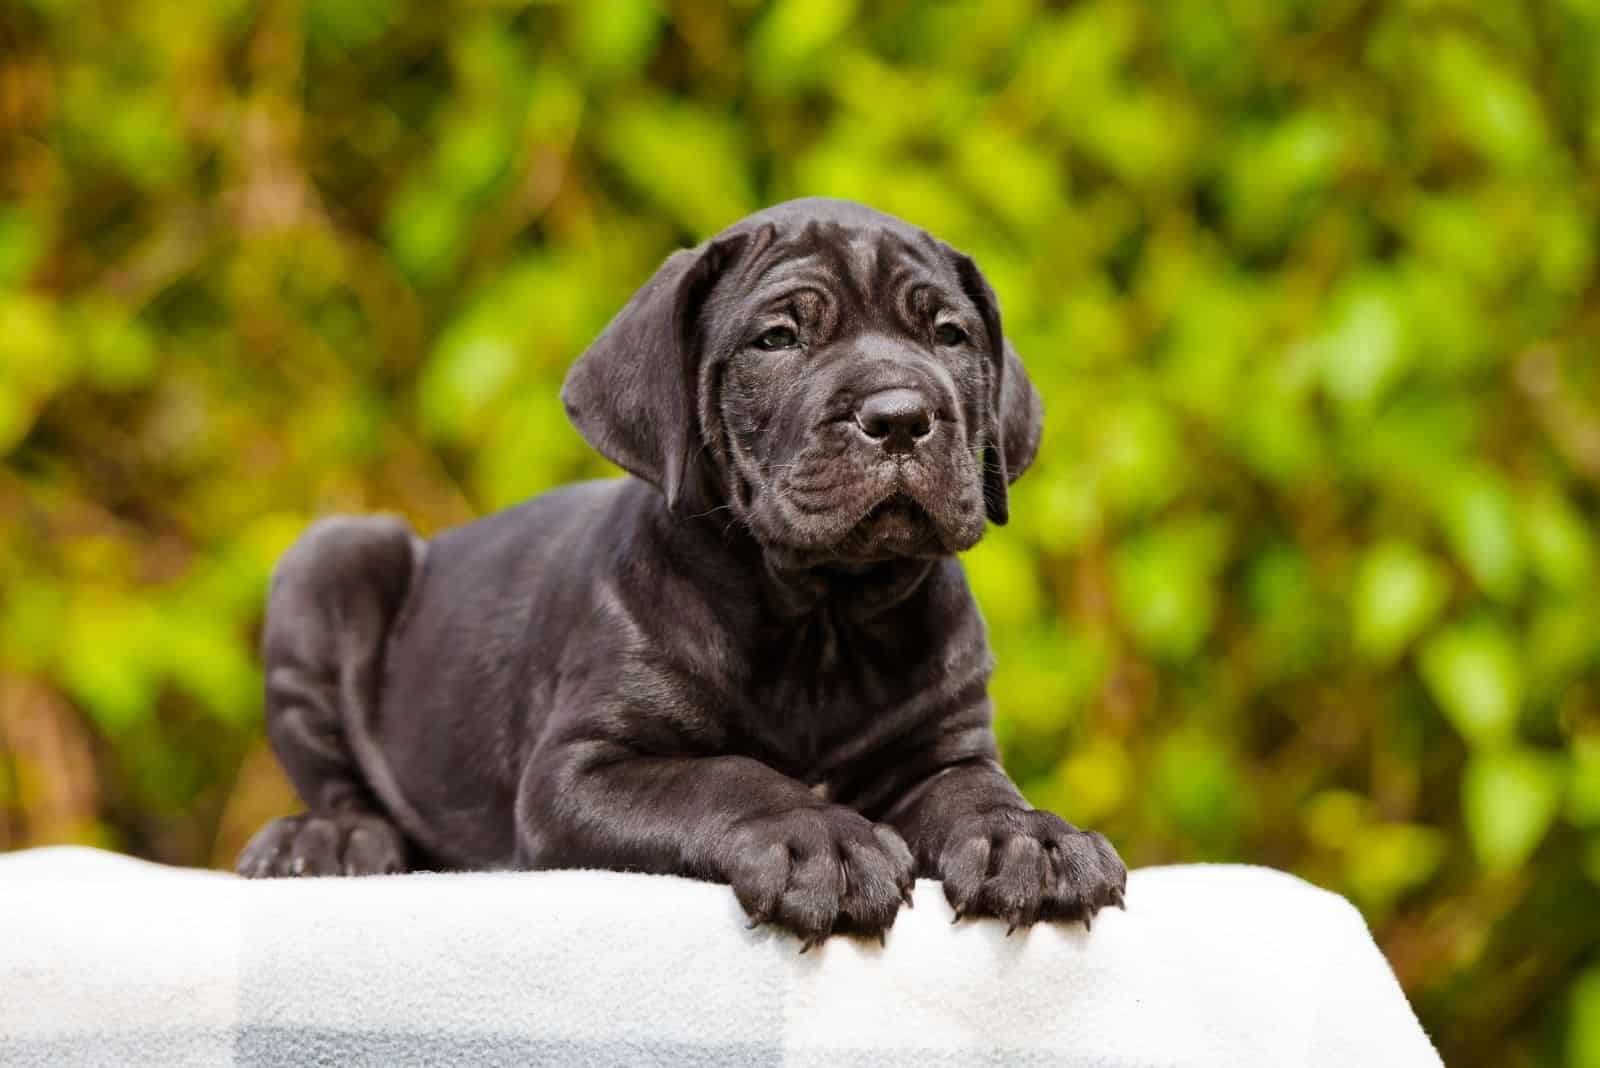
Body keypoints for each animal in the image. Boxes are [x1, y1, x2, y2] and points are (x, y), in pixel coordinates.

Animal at [243, 198, 1132, 940]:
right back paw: (329, 837)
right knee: (340, 780)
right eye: (778, 339)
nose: (900, 415)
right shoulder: (579, 769)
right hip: (333, 559)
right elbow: (727, 777)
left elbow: (976, 790)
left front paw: (1029, 840)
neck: (821, 624)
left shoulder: (944, 748)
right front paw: (821, 844)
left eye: (949, 335)